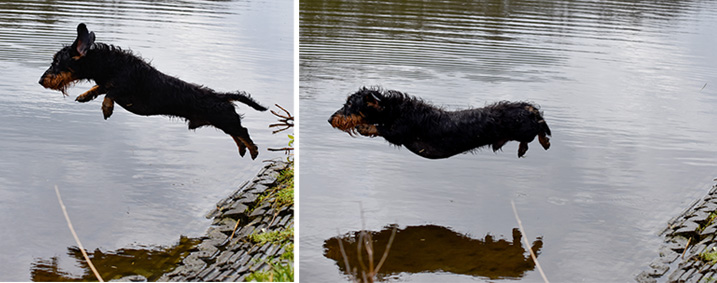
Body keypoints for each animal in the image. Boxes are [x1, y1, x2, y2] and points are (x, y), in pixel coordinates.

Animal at [37, 22, 266, 160]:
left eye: (56, 62)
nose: (40, 81)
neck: (109, 64)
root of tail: (221, 96)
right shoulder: (106, 83)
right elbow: (100, 88)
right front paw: (86, 95)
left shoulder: (125, 85)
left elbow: (111, 92)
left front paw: (106, 108)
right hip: (222, 122)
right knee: (237, 134)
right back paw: (243, 149)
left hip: (225, 119)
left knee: (243, 131)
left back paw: (253, 150)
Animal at [328, 87, 552, 160]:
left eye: (350, 104)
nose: (330, 119)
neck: (395, 109)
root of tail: (528, 108)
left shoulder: (399, 132)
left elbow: (382, 129)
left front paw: (365, 127)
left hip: (526, 128)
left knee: (539, 129)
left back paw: (541, 142)